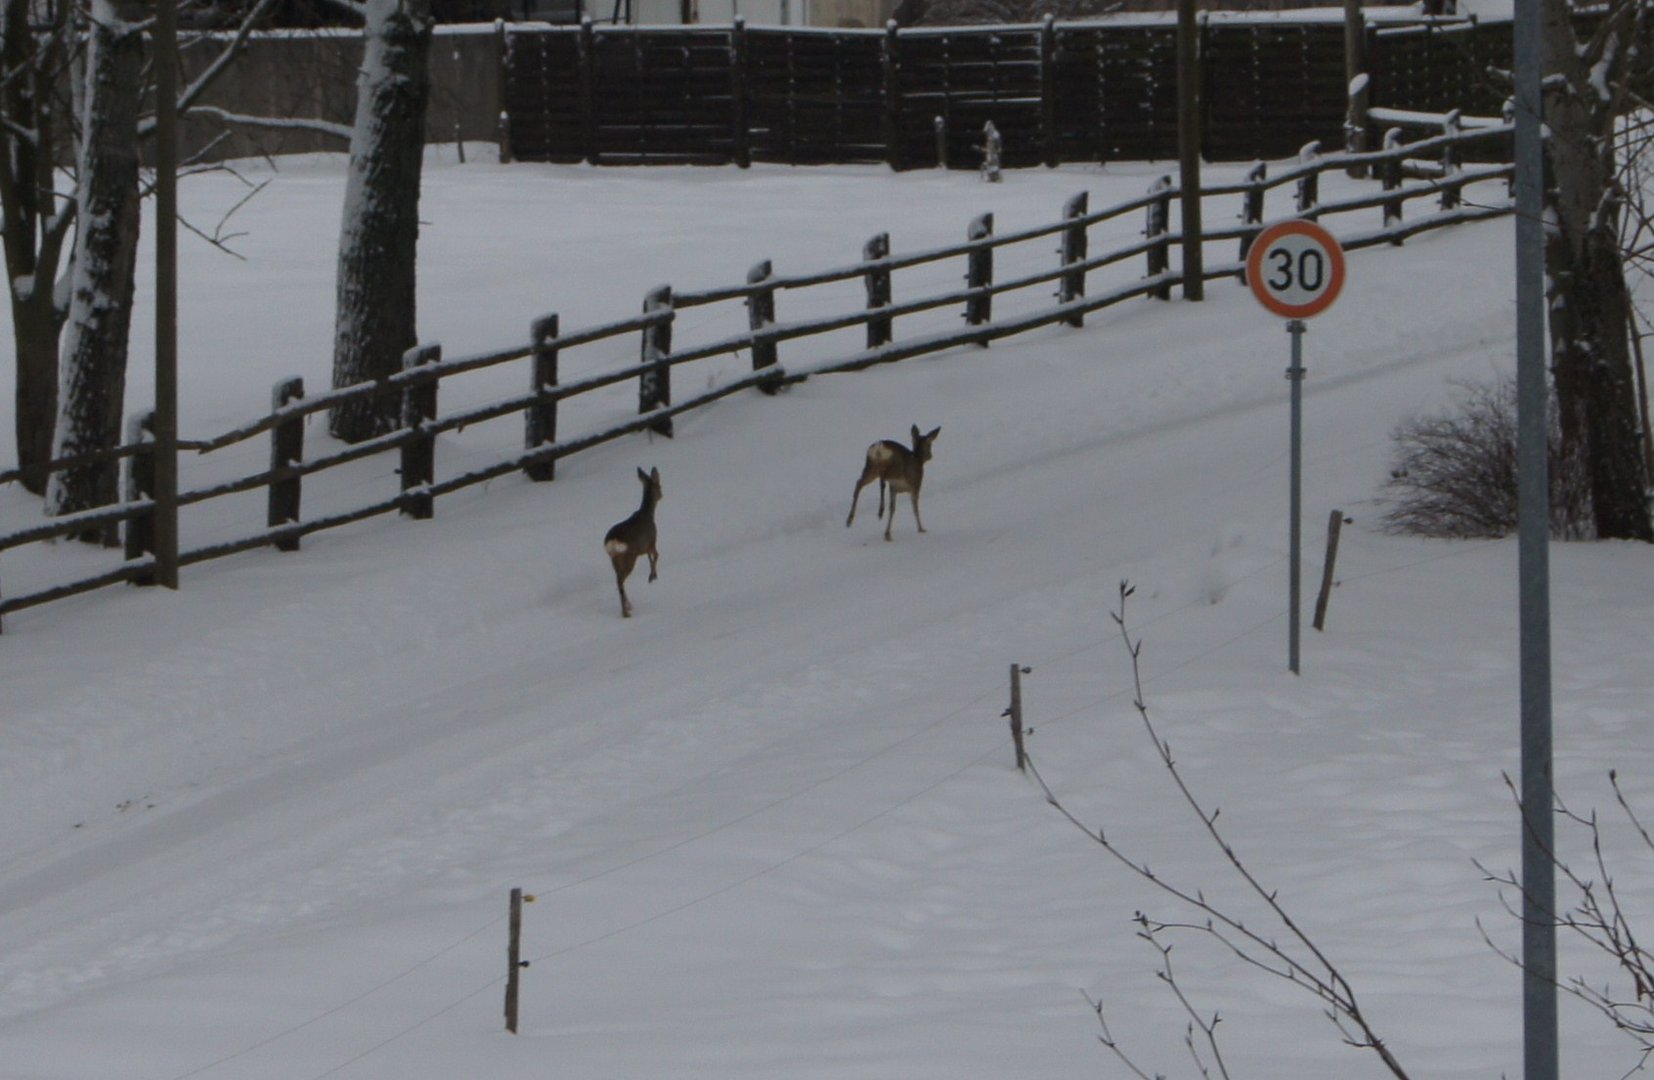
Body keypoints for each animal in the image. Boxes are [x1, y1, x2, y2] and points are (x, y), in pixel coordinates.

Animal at [605, 463, 661, 615]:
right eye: (659, 486)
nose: (662, 495)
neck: (648, 514)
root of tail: (612, 541)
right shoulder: (652, 540)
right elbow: (656, 555)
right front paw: (652, 577)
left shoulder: (645, 547)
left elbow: (650, 557)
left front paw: (652, 575)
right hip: (628, 556)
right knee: (620, 581)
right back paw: (626, 611)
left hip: (615, 560)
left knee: (618, 582)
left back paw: (626, 609)